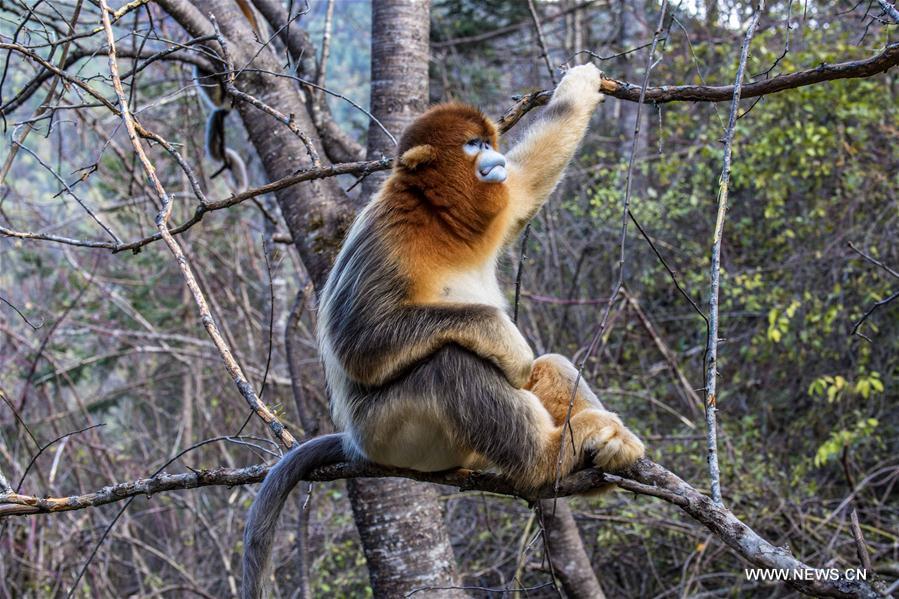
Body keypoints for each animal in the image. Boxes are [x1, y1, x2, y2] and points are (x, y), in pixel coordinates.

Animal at [241, 65, 648, 599]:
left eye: (490, 142)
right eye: (473, 145)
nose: (493, 158)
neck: (439, 220)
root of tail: (355, 442)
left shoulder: (495, 211)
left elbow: (526, 186)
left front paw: (576, 89)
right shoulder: (389, 234)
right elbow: (358, 342)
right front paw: (503, 338)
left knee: (549, 366)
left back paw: (600, 448)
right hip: (394, 434)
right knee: (451, 364)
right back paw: (546, 462)